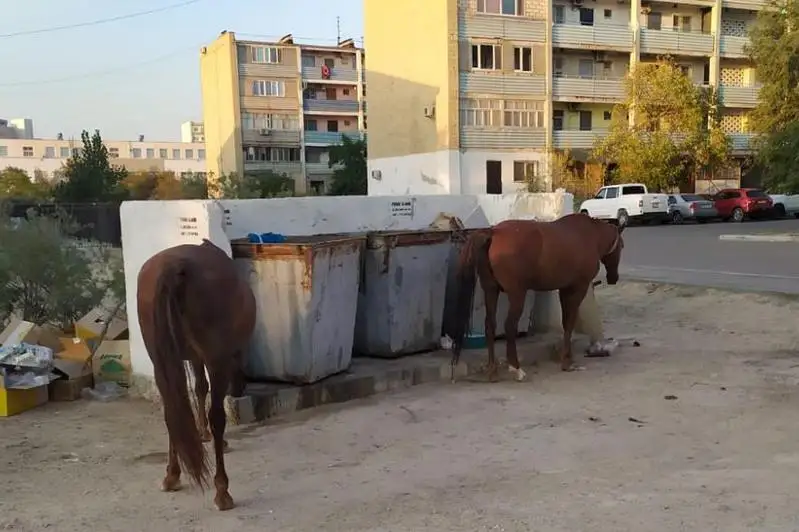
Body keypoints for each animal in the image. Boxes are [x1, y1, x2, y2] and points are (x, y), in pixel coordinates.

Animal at [136, 238, 256, 511]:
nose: (241, 388)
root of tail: (176, 265)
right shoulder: (213, 358)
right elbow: (206, 395)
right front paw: (210, 437)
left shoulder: (191, 357)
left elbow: (199, 389)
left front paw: (200, 435)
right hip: (215, 360)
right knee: (217, 417)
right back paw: (222, 490)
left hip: (160, 360)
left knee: (172, 410)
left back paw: (172, 475)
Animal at [448, 213, 624, 382]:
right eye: (622, 246)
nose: (613, 277)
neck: (589, 235)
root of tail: (494, 232)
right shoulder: (577, 289)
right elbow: (569, 323)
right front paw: (567, 362)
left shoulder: (564, 289)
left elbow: (566, 323)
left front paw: (567, 358)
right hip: (517, 294)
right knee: (509, 326)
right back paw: (516, 368)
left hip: (491, 290)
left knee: (490, 325)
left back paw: (493, 371)